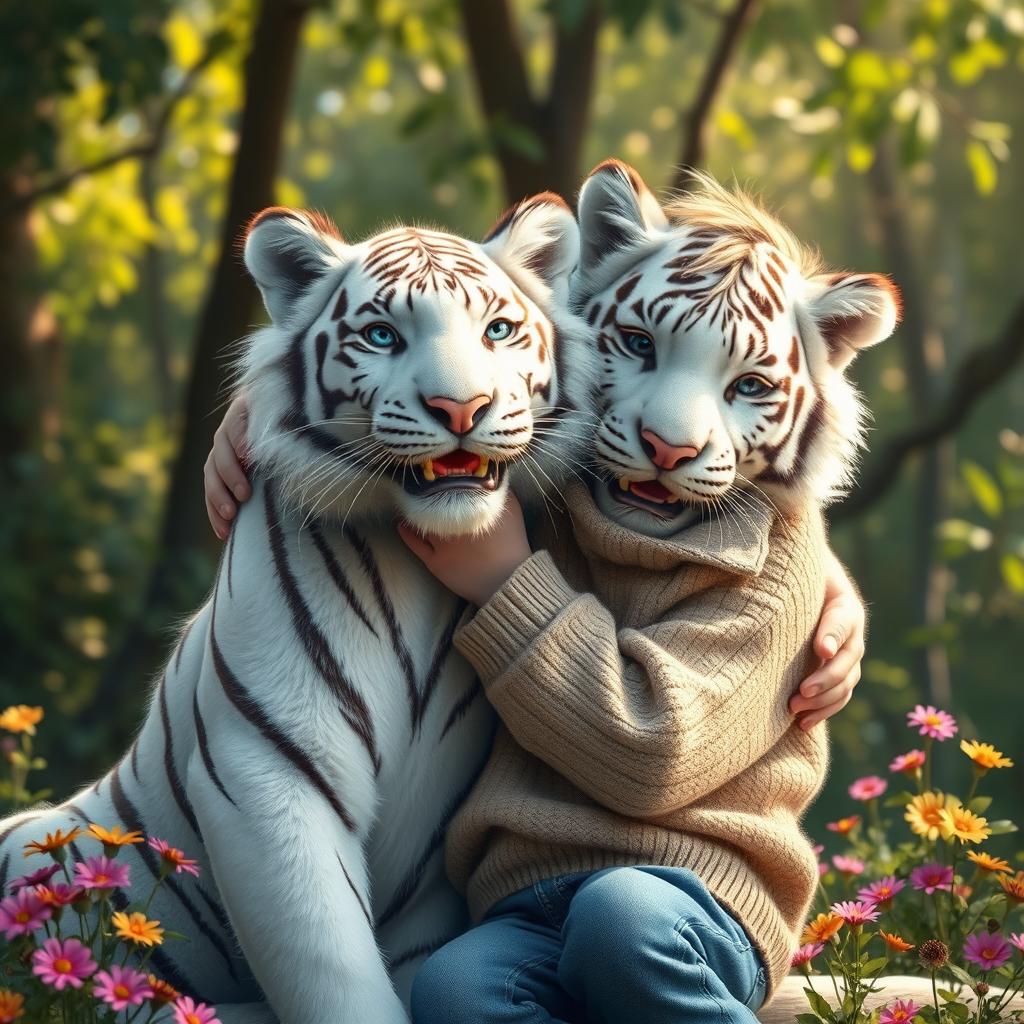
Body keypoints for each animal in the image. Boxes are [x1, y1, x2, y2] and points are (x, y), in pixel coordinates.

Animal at [0, 193, 594, 1024]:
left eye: (498, 331)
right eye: (382, 335)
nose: (462, 407)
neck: (420, 562)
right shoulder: (270, 769)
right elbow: (334, 973)